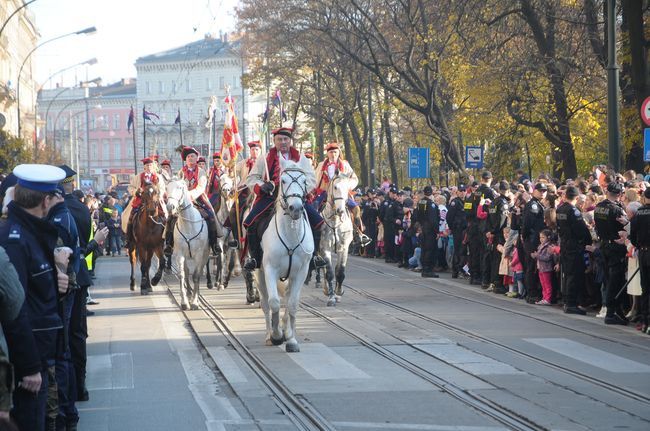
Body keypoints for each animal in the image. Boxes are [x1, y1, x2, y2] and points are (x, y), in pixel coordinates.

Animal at [166, 179, 209, 310]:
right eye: (167, 188)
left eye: (180, 187)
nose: (170, 206)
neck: (189, 225)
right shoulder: (179, 254)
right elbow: (182, 275)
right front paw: (184, 301)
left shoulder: (199, 255)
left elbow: (196, 276)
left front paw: (195, 302)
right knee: (186, 270)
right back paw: (189, 292)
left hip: (205, 256)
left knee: (198, 273)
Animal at [254, 157, 312, 352]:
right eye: (284, 180)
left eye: (304, 181)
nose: (296, 208)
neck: (290, 234)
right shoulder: (270, 269)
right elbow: (274, 302)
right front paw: (277, 335)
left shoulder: (301, 272)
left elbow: (292, 304)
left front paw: (291, 339)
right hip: (259, 274)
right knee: (265, 303)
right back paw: (268, 335)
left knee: (287, 298)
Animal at [318, 173, 354, 308]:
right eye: (335, 187)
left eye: (348, 188)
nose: (341, 210)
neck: (335, 220)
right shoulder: (324, 247)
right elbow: (329, 273)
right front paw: (331, 297)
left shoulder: (343, 248)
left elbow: (340, 271)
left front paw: (338, 293)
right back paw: (326, 289)